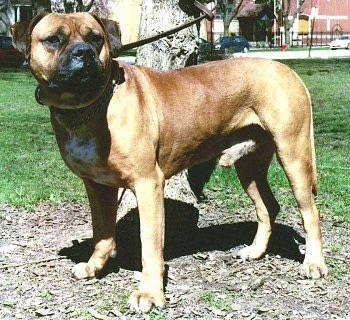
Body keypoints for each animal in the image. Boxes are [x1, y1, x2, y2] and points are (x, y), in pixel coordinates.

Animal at [11, 12, 328, 312]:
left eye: (95, 38)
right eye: (53, 39)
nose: (83, 53)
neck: (89, 107)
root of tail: (287, 70)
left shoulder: (148, 184)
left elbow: (150, 245)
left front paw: (149, 293)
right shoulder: (97, 186)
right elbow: (102, 232)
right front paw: (94, 266)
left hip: (294, 153)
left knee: (309, 212)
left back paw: (314, 263)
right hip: (249, 165)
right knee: (267, 206)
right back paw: (255, 251)